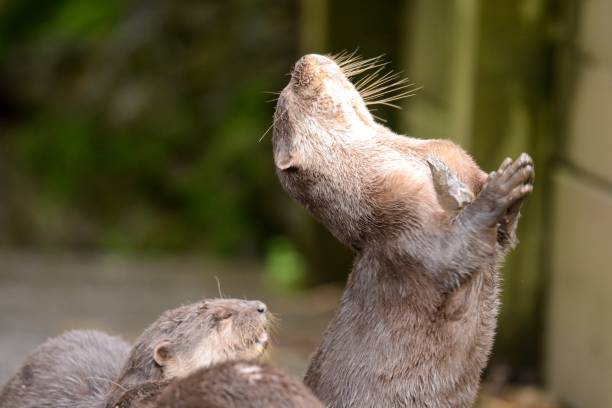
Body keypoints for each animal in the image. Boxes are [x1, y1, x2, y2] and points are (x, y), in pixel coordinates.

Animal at [272, 54, 536, 408]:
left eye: (288, 89)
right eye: (291, 98)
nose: (303, 61)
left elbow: (505, 236)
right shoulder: (403, 234)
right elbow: (451, 252)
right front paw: (501, 187)